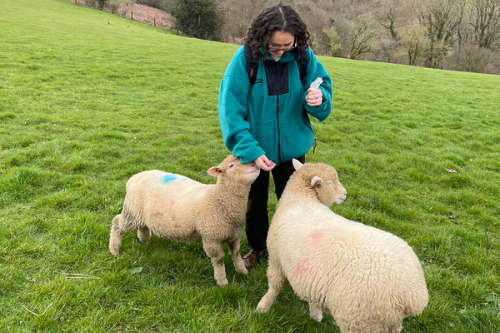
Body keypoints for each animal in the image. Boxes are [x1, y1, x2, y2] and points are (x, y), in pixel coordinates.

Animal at [107, 154, 260, 286]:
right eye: (232, 165)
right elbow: (219, 260)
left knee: (143, 226)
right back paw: (114, 250)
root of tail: (133, 178)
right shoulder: (211, 237)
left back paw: (145, 241)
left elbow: (235, 254)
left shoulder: (234, 235)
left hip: (140, 214)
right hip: (132, 212)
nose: (255, 164)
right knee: (117, 223)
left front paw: (243, 271)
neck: (219, 200)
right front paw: (222, 281)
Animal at [256, 160, 428, 330]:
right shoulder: (300, 271)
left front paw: (262, 306)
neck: (300, 197)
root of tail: (413, 296)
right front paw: (315, 314)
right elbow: (288, 290)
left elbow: (274, 287)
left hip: (361, 321)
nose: (345, 193)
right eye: (329, 183)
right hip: (388, 324)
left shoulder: (276, 260)